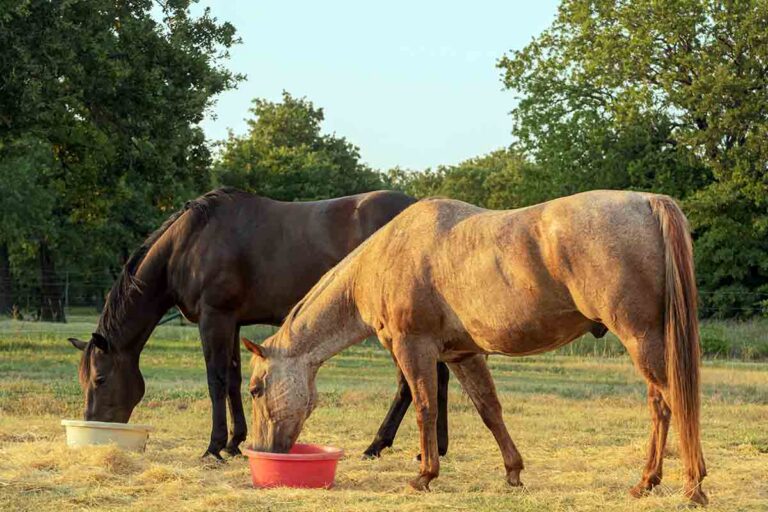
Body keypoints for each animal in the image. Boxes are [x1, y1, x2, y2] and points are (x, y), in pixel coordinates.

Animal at [66, 187, 452, 460]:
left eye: (100, 379)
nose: (94, 425)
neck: (190, 244)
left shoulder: (214, 317)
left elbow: (216, 379)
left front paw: (213, 446)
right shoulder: (233, 321)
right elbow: (234, 378)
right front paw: (235, 442)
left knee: (411, 383)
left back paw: (377, 445)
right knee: (438, 378)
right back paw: (434, 448)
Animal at [241, 190, 708, 505]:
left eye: (255, 389)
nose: (263, 451)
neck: (385, 258)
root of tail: (648, 201)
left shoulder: (414, 348)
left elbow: (425, 407)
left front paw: (425, 475)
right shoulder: (463, 355)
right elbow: (489, 410)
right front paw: (513, 472)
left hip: (640, 338)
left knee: (673, 401)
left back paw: (691, 485)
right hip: (650, 342)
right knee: (662, 404)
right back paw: (649, 482)